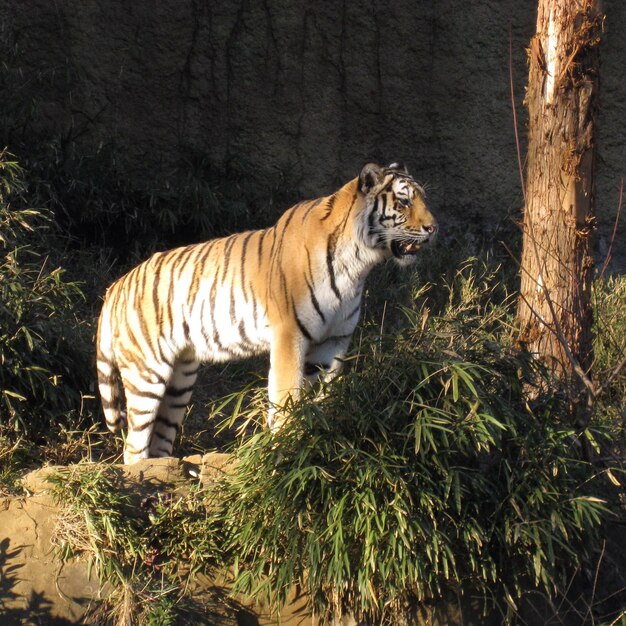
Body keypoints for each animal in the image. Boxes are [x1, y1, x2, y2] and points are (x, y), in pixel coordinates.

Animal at [97, 161, 436, 464]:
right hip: (146, 372)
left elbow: (322, 398)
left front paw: (321, 438)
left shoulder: (333, 342)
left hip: (180, 380)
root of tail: (116, 286)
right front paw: (286, 449)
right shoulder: (290, 334)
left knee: (159, 439)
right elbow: (286, 396)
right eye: (404, 201)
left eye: (423, 198)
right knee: (133, 445)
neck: (358, 264)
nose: (433, 228)